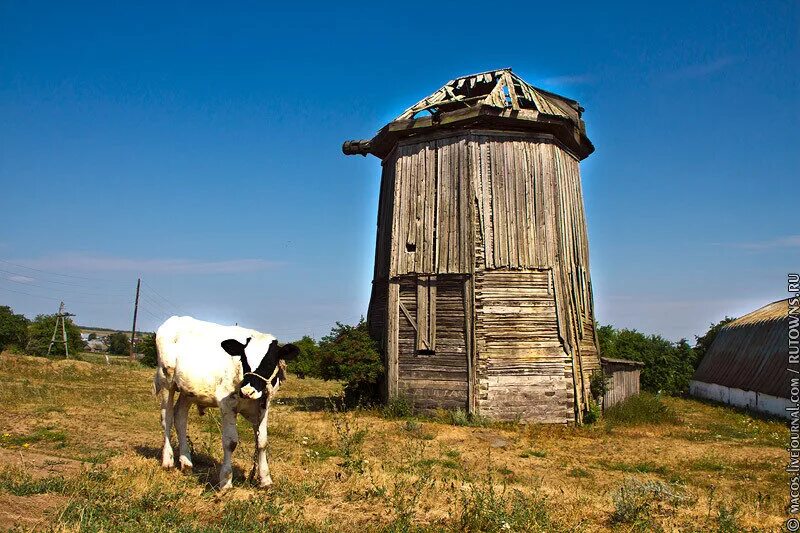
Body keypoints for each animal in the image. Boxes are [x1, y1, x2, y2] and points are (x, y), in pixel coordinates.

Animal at [153, 316, 296, 486]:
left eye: (268, 362)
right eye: (243, 359)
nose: (247, 391)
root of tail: (175, 318)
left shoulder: (264, 406)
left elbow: (262, 442)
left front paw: (265, 479)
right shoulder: (227, 404)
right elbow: (230, 442)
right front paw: (226, 480)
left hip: (188, 391)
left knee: (180, 417)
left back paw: (186, 461)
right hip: (166, 381)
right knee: (166, 418)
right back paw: (168, 460)